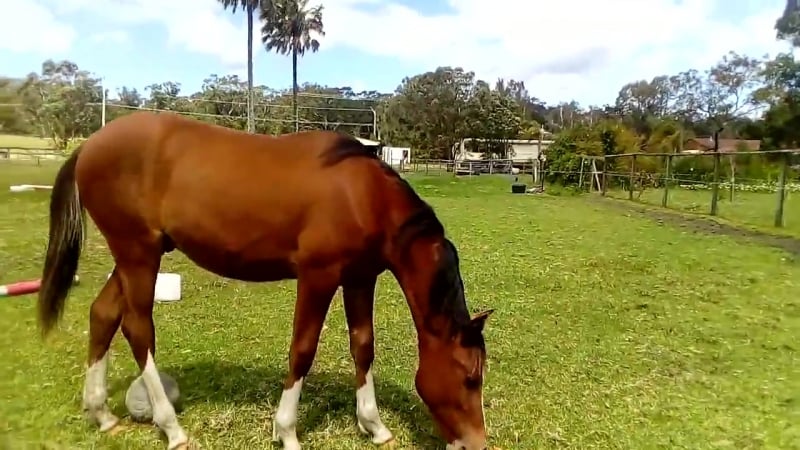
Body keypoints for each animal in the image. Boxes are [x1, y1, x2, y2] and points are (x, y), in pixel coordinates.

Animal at [37, 111, 493, 450]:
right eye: (470, 376)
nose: (477, 442)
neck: (363, 195)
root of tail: (89, 145)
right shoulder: (318, 276)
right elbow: (302, 350)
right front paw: (286, 430)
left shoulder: (360, 279)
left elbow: (363, 348)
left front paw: (374, 425)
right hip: (138, 255)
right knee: (137, 328)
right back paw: (171, 427)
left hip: (136, 256)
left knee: (103, 314)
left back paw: (101, 414)